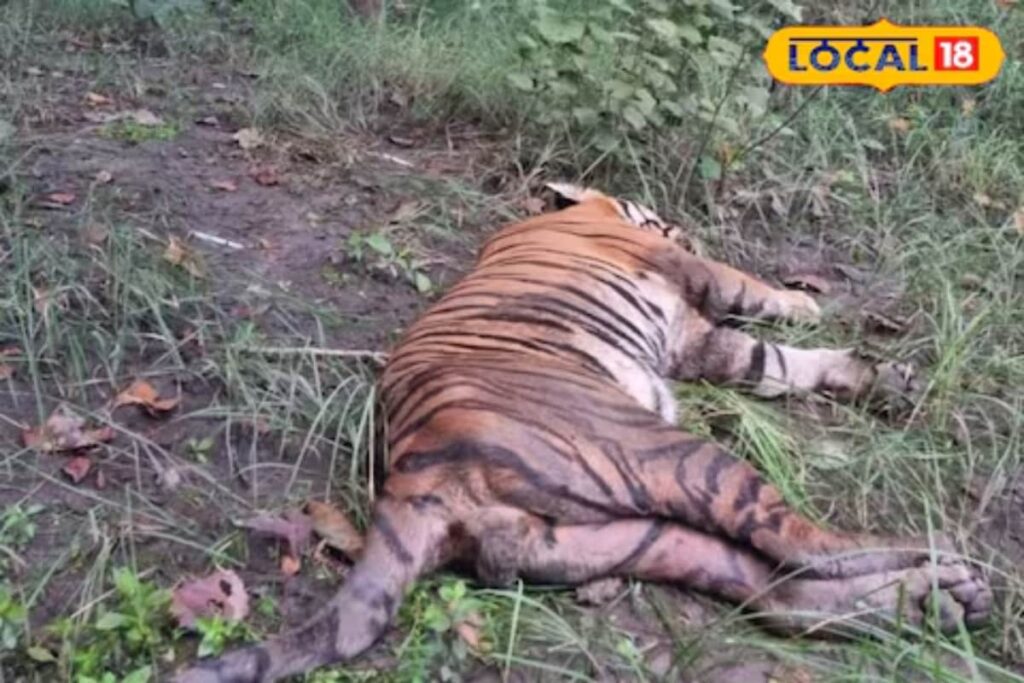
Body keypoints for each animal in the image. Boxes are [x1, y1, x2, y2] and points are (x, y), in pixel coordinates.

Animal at [175, 183, 992, 682]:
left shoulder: (697, 341)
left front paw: (884, 380)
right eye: (658, 215)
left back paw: (938, 602)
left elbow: (778, 362)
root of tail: (414, 468)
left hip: (625, 535)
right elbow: (753, 295)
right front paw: (808, 303)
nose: (681, 219)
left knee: (771, 588)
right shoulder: (687, 274)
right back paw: (946, 563)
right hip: (671, 454)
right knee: (801, 543)